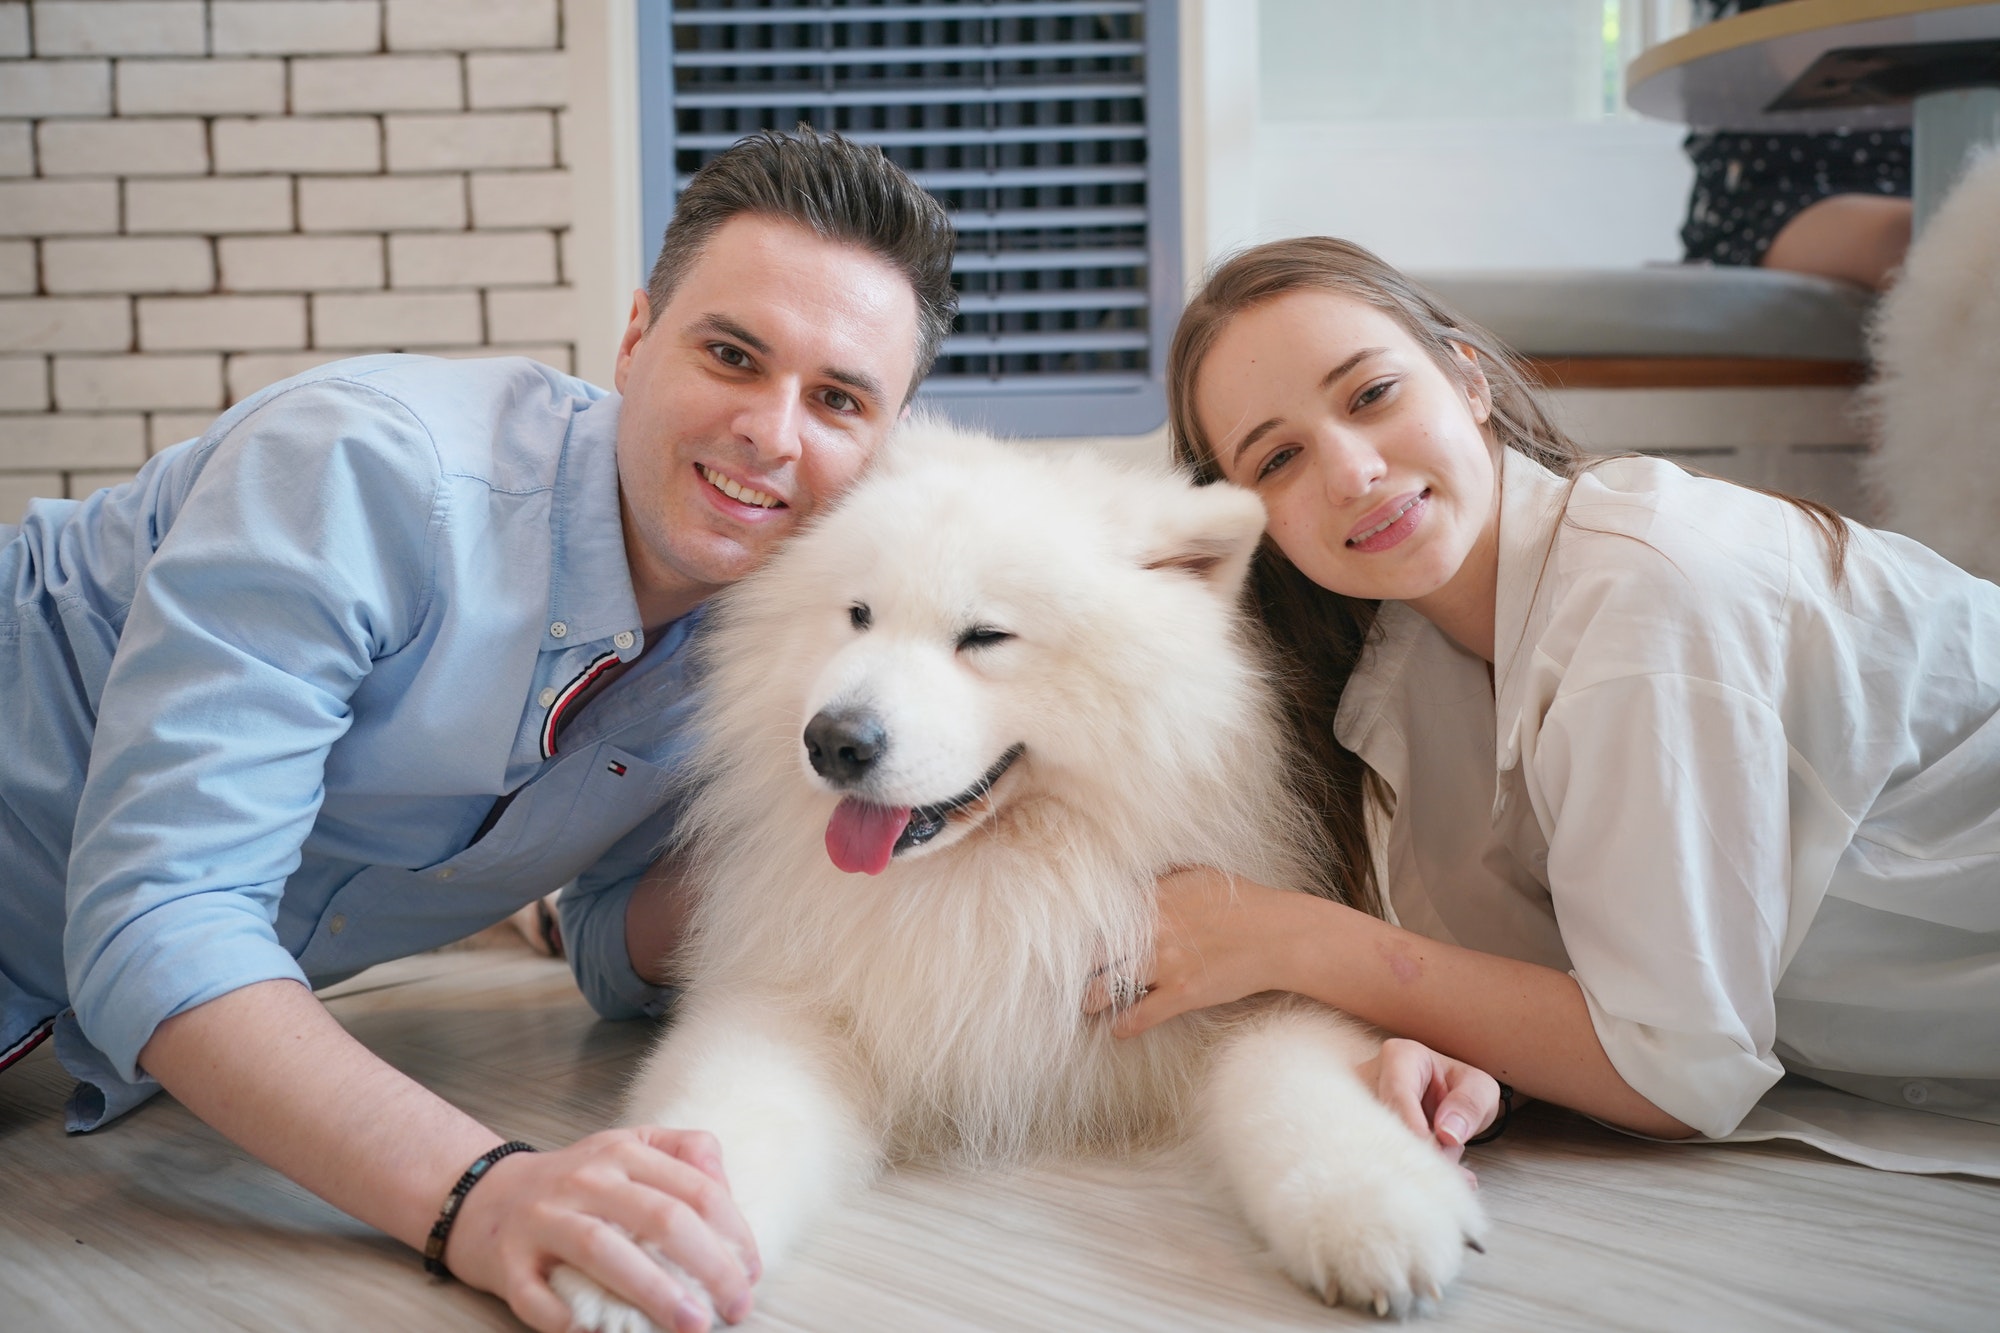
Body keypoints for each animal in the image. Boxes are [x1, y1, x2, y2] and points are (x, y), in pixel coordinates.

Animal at [556, 412, 1480, 1320]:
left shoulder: (1251, 978)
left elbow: (1305, 1090)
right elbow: (723, 1116)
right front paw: (649, 1235)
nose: (834, 740)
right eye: (858, 614)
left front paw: (1380, 1210)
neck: (995, 878)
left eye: (985, 636)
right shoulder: (789, 1004)